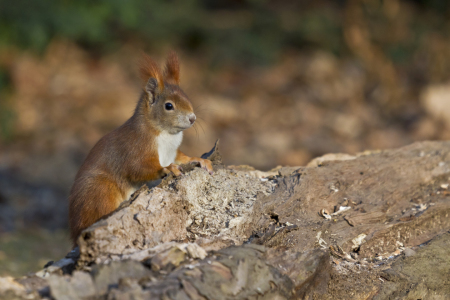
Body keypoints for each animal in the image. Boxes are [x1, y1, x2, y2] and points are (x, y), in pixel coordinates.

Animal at [68, 51, 213, 244]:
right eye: (169, 106)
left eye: (187, 97)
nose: (192, 118)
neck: (166, 134)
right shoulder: (136, 147)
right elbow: (138, 168)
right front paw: (168, 169)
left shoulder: (172, 152)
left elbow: (183, 158)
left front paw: (200, 160)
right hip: (101, 190)